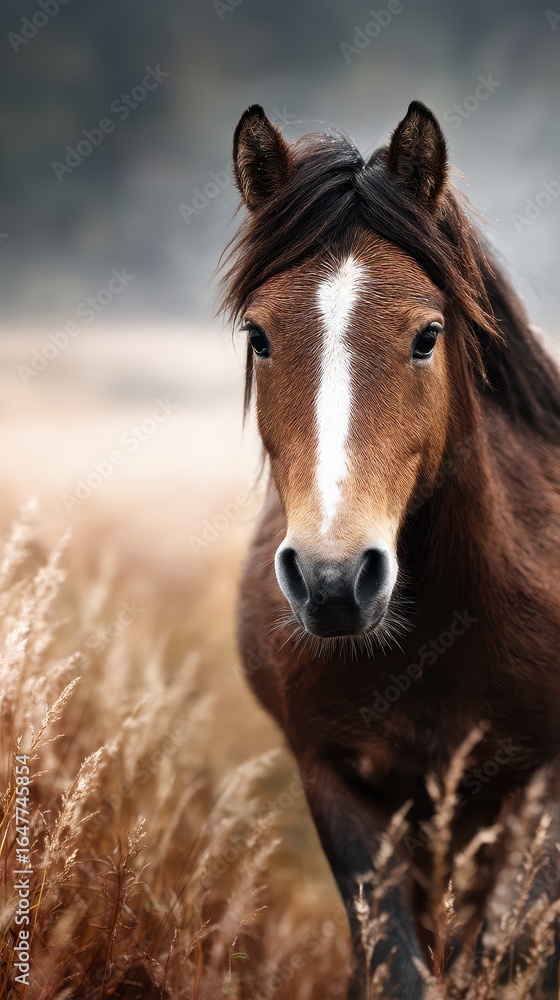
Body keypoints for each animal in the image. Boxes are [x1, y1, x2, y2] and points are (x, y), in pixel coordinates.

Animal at [220, 100, 560, 998]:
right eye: (259, 336)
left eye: (427, 335)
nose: (334, 581)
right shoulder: (336, 777)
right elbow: (398, 968)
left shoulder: (542, 787)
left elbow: (510, 956)